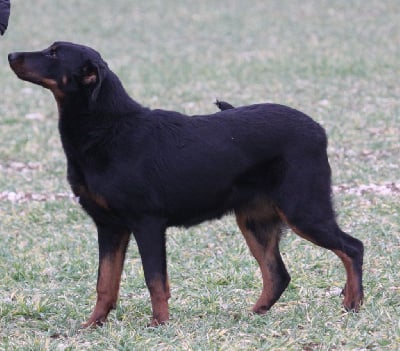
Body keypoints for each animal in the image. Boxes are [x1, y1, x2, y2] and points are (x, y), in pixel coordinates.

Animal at [7, 43, 364, 328]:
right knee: (278, 274)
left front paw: (159, 325)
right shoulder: (110, 226)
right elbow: (105, 282)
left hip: (303, 210)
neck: (107, 128)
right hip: (255, 221)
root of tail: (318, 129)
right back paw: (254, 313)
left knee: (352, 248)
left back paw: (353, 303)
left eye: (54, 54)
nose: (10, 54)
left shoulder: (147, 223)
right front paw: (92, 325)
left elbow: (155, 280)